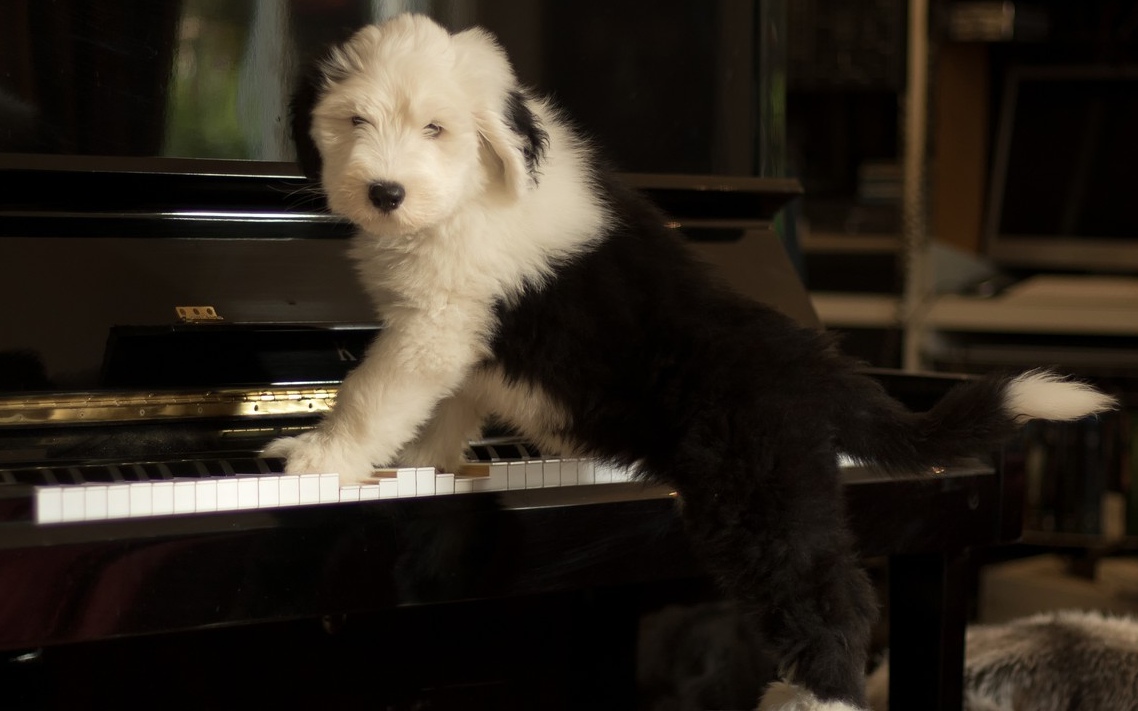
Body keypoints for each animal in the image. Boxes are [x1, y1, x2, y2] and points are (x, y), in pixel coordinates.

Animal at [268, 12, 1119, 709]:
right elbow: (440, 409)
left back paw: (814, 697)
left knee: (833, 600)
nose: (384, 191)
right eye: (355, 118)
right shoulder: (460, 342)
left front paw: (317, 457)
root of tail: (819, 368)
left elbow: (373, 392)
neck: (471, 191)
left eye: (437, 128)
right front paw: (419, 466)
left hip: (762, 502)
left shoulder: (436, 325)